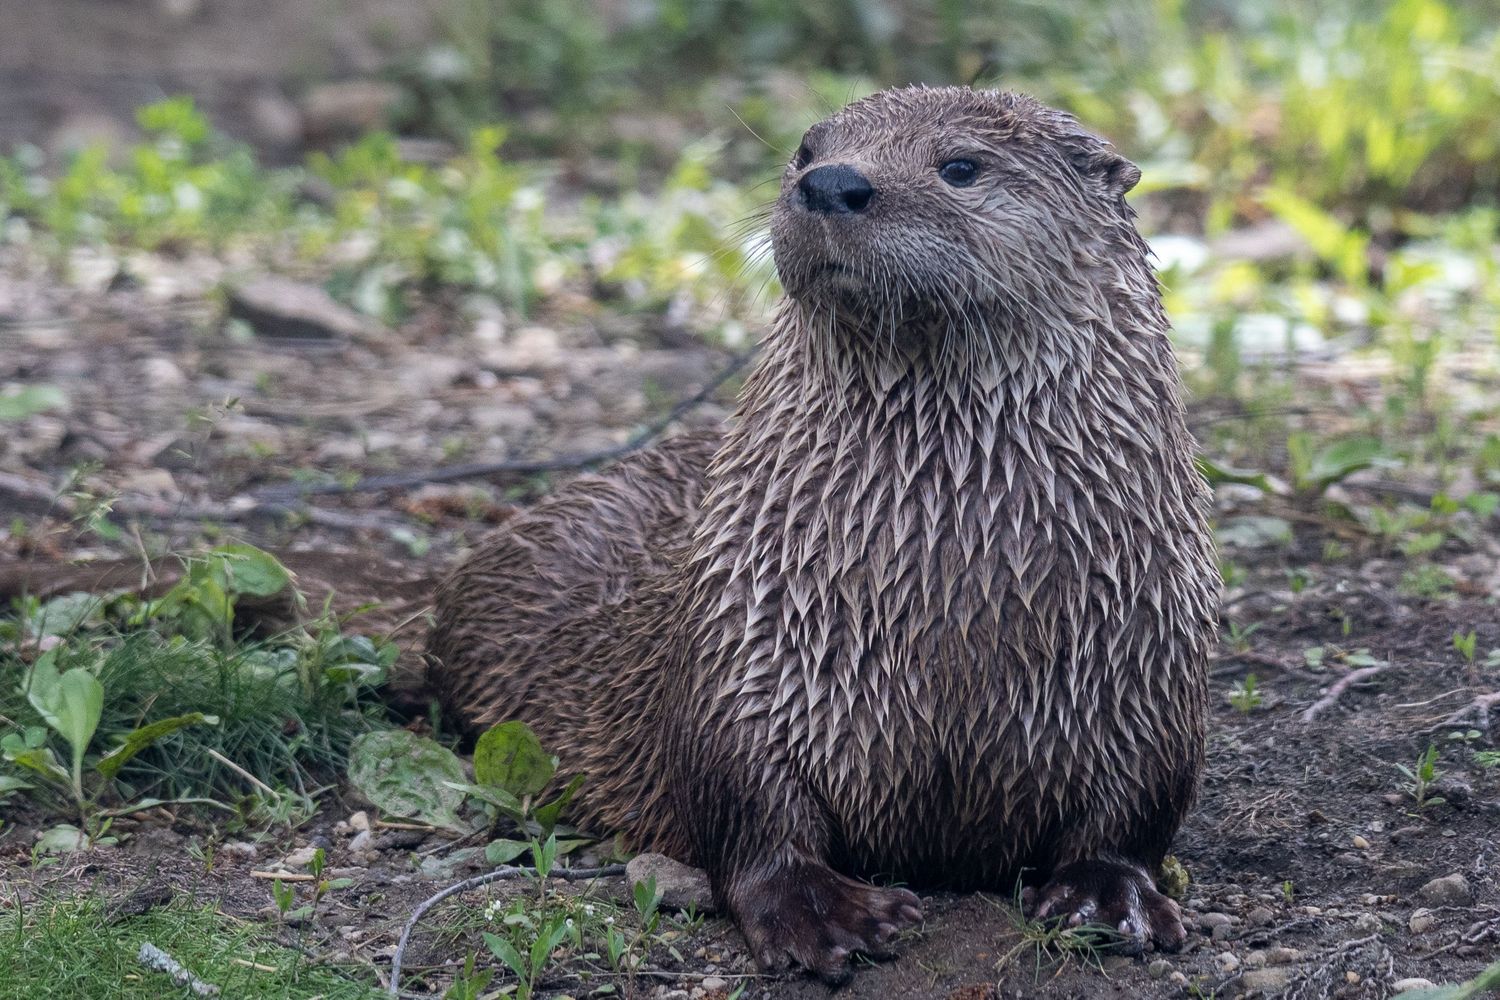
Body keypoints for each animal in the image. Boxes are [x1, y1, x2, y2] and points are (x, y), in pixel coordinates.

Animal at [428, 85, 1219, 983]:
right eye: (807, 150)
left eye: (960, 166)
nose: (832, 182)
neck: (950, 603)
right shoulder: (744, 631)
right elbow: (746, 800)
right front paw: (821, 914)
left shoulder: (1148, 658)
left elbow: (1137, 809)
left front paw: (1108, 898)